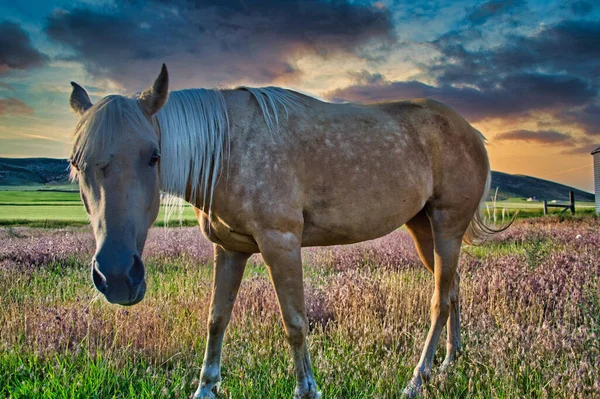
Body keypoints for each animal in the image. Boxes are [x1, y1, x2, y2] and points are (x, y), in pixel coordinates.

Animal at [68, 64, 504, 398]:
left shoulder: (281, 244)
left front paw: (307, 389)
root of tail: (471, 132)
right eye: (76, 163)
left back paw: (418, 378)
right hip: (423, 230)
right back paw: (451, 360)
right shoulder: (229, 250)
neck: (227, 149)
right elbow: (216, 319)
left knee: (440, 301)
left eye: (154, 156)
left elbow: (294, 322)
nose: (117, 277)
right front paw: (205, 388)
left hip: (446, 226)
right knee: (453, 288)